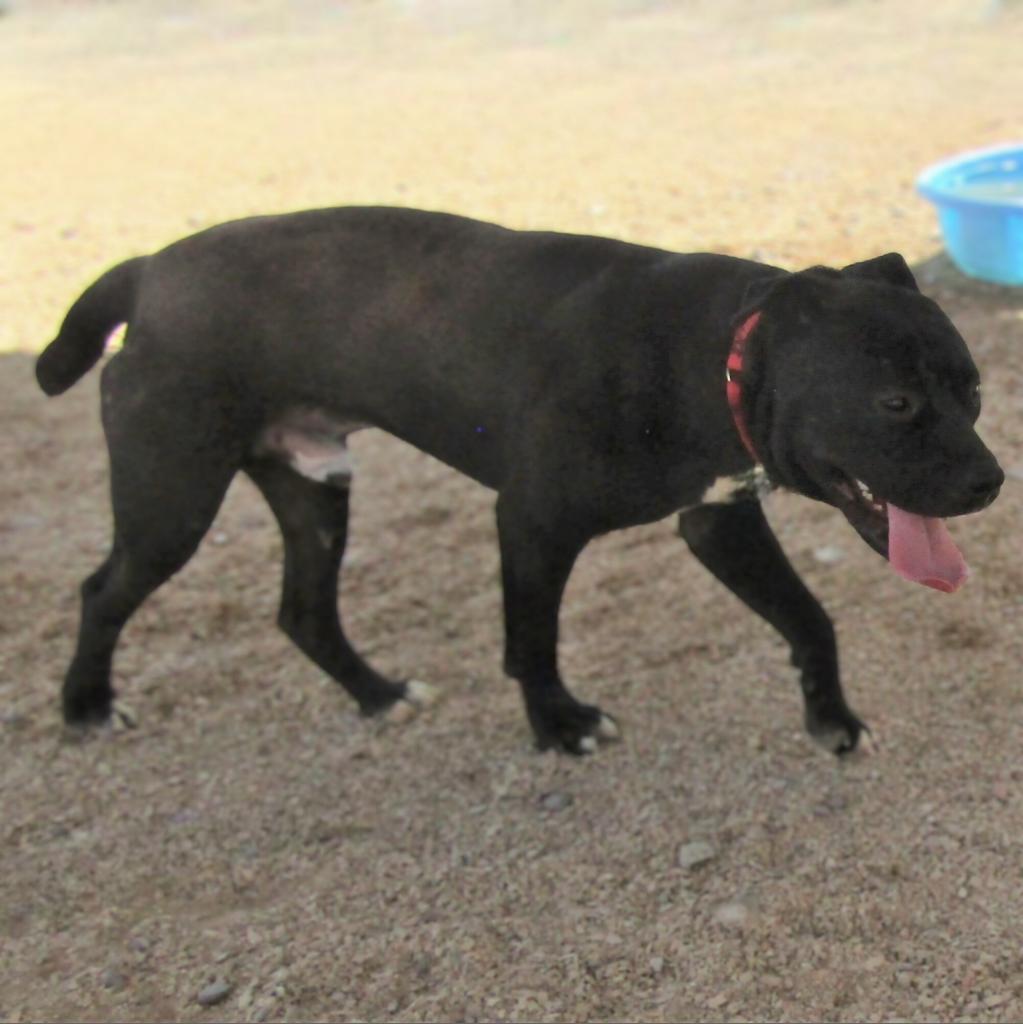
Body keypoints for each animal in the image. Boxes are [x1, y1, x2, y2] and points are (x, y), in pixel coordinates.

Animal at [34, 205, 1007, 753]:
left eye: (971, 390)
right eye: (894, 402)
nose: (990, 483)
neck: (711, 353)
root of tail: (150, 270)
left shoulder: (717, 520)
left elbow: (809, 620)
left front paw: (830, 719)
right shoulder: (533, 525)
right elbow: (531, 642)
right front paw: (558, 727)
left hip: (314, 488)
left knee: (304, 611)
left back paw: (379, 696)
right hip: (173, 499)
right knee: (100, 592)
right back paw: (86, 709)